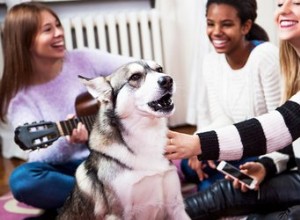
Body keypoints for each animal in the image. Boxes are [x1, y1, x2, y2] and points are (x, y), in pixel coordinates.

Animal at [56, 60, 190, 220]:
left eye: (159, 69)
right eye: (135, 76)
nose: (168, 80)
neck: (147, 135)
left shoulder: (176, 207)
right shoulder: (117, 214)